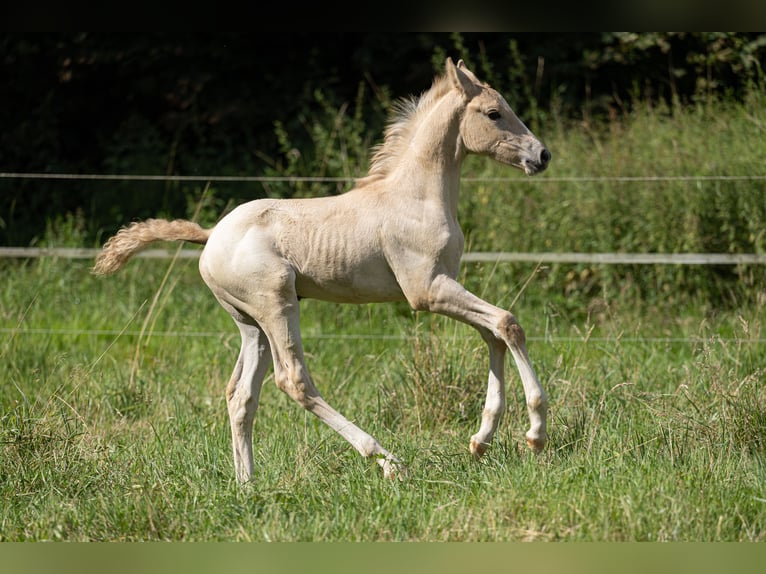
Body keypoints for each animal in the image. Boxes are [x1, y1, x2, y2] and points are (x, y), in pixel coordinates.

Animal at [94, 58, 552, 482]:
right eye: (493, 113)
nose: (542, 155)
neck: (416, 197)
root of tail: (210, 236)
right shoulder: (427, 291)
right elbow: (507, 323)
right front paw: (535, 434)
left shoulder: (446, 285)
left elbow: (493, 335)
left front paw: (481, 441)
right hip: (277, 304)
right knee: (293, 380)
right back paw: (386, 460)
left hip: (250, 323)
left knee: (240, 394)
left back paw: (247, 484)